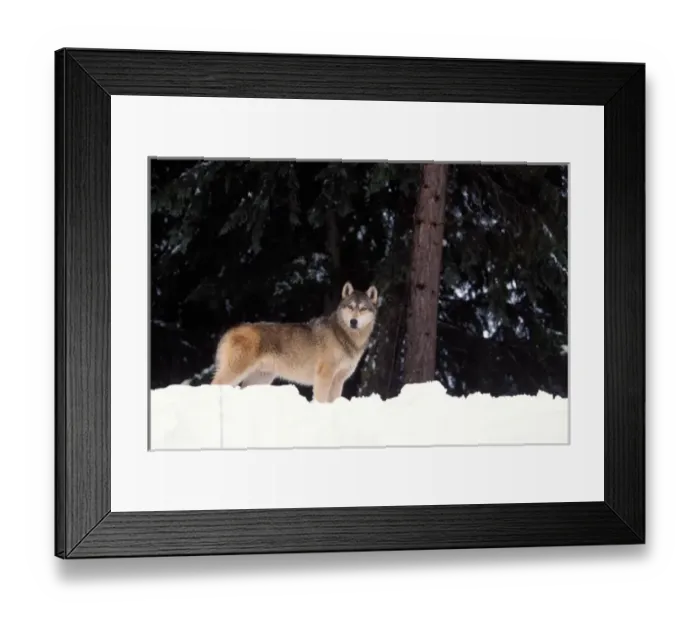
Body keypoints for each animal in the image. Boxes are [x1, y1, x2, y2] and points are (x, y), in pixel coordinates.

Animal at [211, 282, 379, 403]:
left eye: (363, 309)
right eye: (350, 307)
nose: (353, 321)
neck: (343, 336)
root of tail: (230, 331)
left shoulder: (339, 381)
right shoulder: (324, 376)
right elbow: (321, 400)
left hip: (260, 380)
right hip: (235, 373)